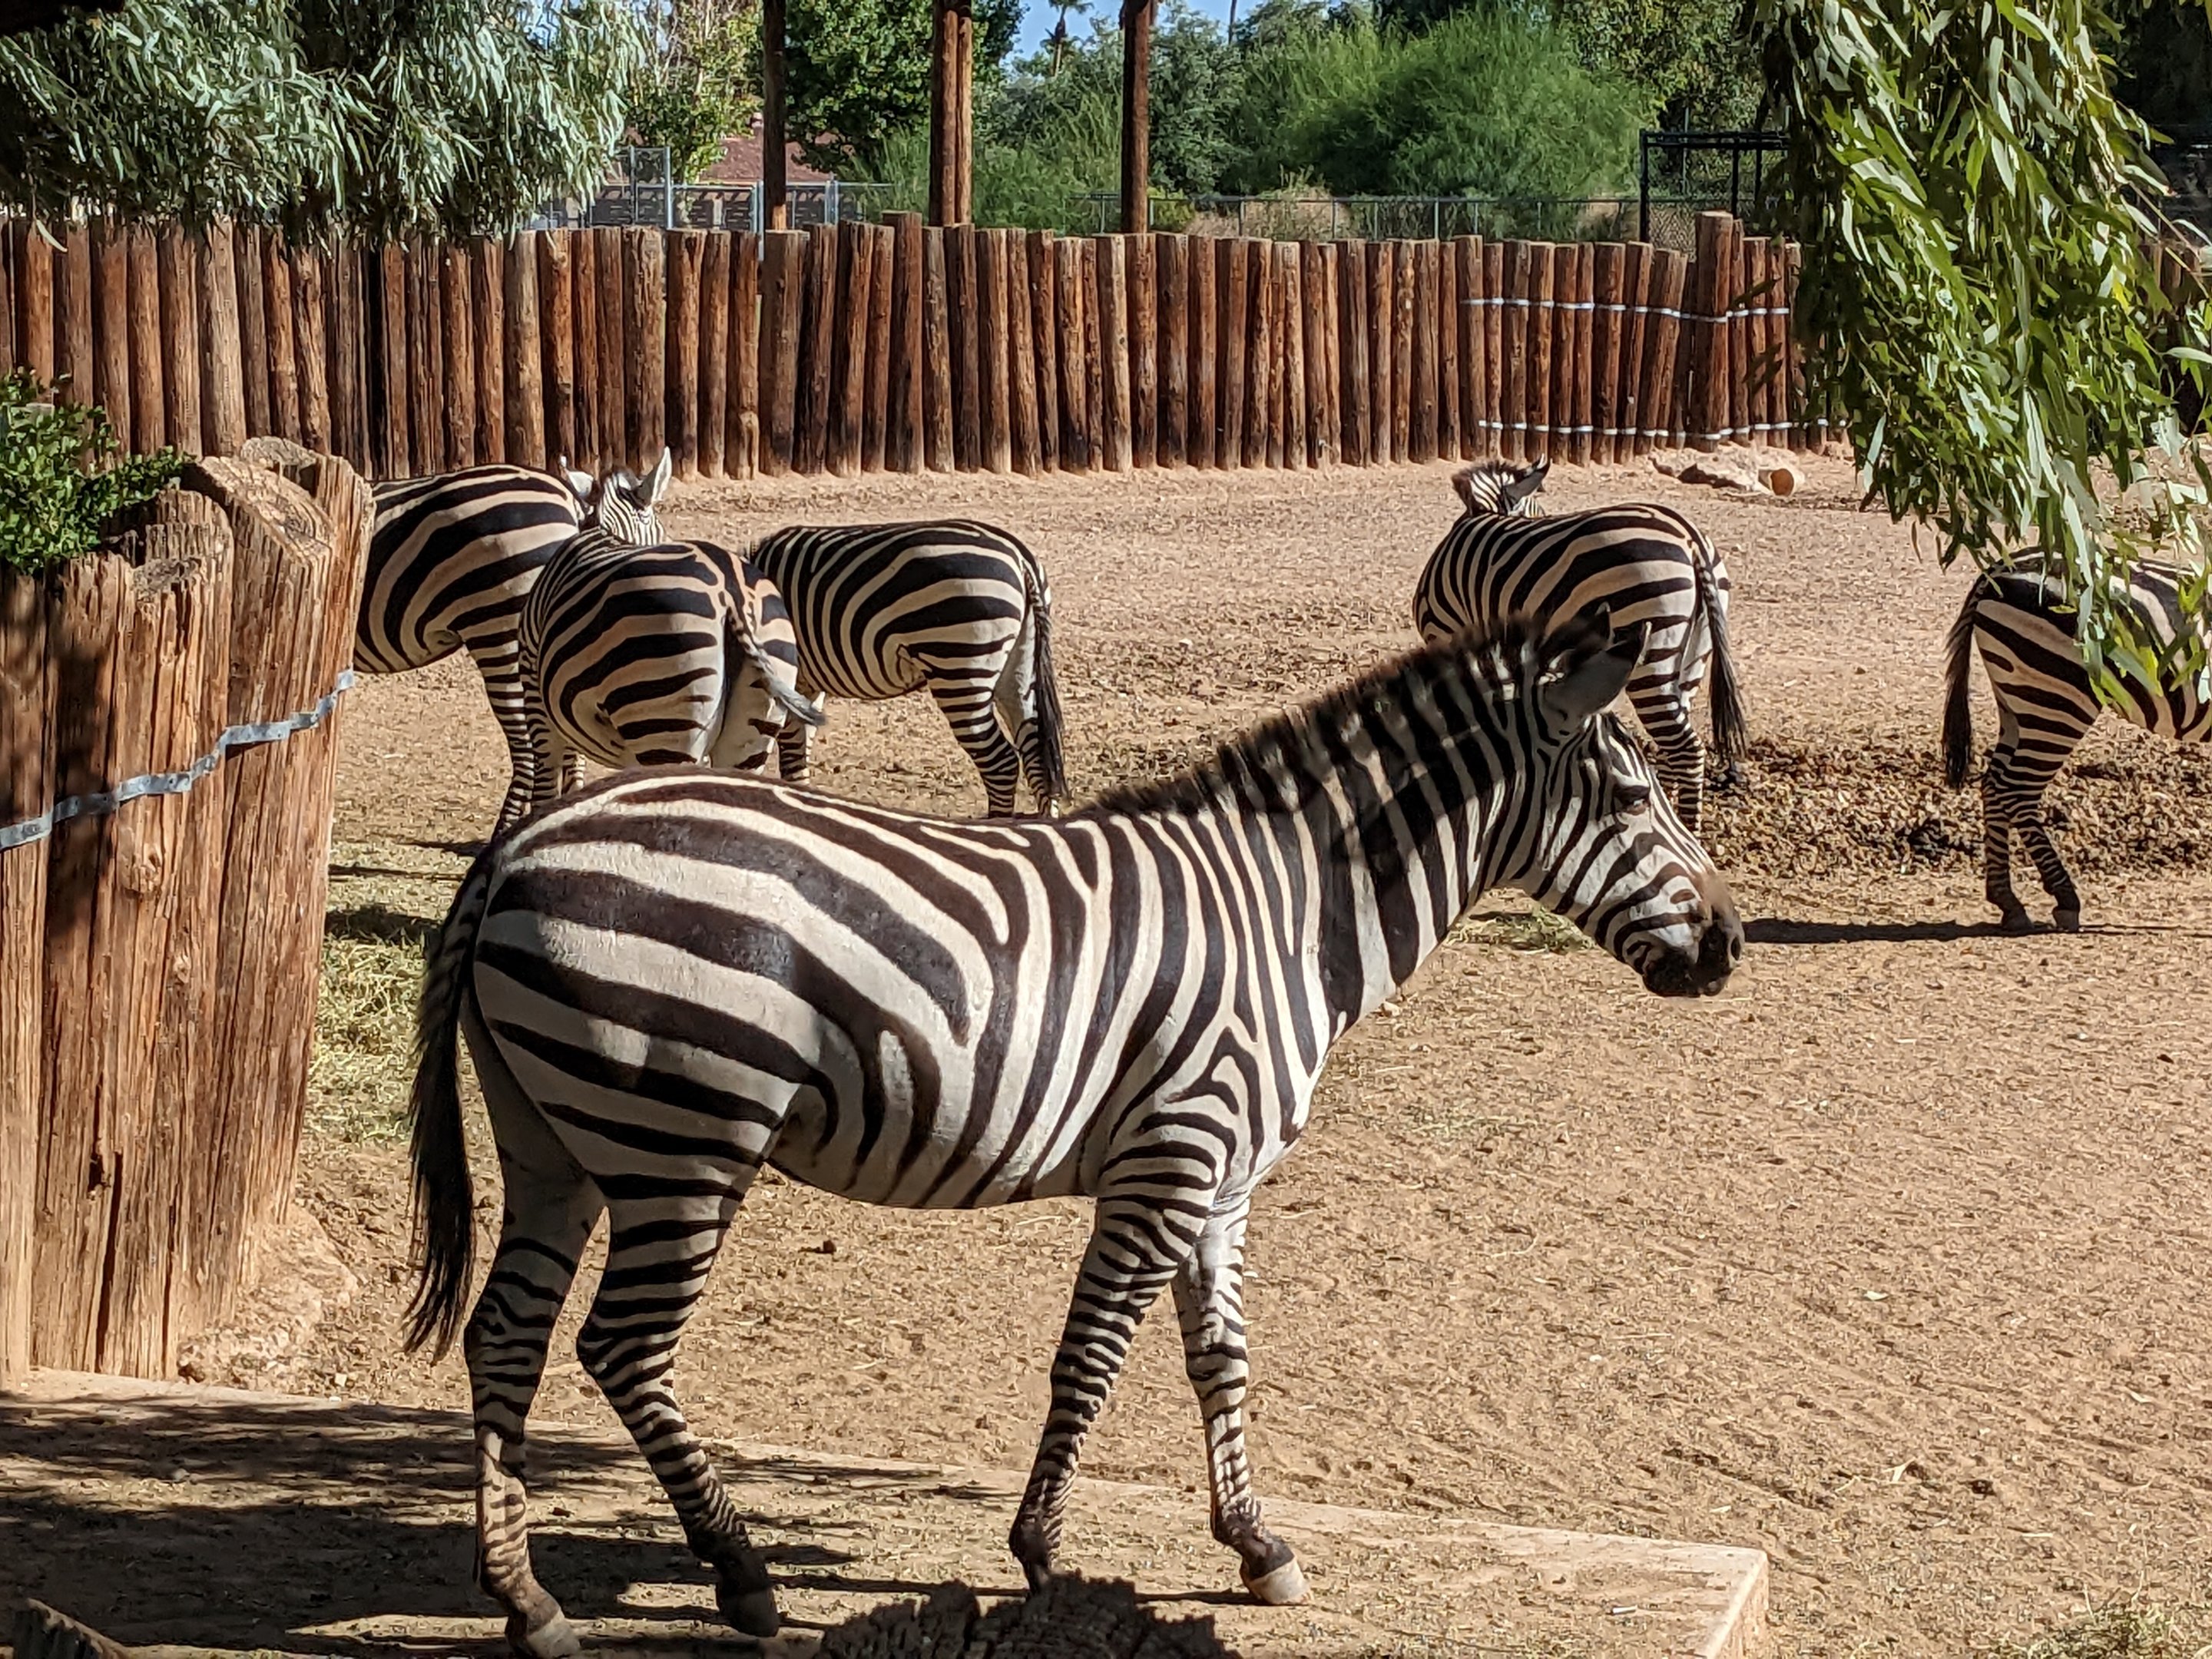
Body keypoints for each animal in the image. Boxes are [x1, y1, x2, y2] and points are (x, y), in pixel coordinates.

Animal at [402, 612, 1742, 1656]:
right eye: (1635, 797)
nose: (1731, 947)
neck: (1292, 909)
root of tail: (523, 847)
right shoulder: (1174, 1157)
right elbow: (1090, 1358)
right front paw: (1043, 1550)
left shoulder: (1223, 1180)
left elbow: (1223, 1359)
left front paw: (1256, 1543)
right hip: (684, 1134)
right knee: (622, 1349)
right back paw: (740, 1579)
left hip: (555, 1137)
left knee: (506, 1336)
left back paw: (526, 1600)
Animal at [745, 519, 1069, 815]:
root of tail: (1019, 556)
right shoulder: (805, 684)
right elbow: (795, 749)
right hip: (1019, 668)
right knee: (1036, 756)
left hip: (960, 667)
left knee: (1001, 762)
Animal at [1413, 458, 1748, 833]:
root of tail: (1689, 538)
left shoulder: (1448, 631)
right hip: (1690, 659)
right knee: (1673, 743)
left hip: (1652, 653)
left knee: (1686, 749)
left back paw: (1687, 828)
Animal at [1943, 558, 2210, 932]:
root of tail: (1993, 574)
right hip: (2059, 697)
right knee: (2016, 789)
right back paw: (2064, 898)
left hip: (2018, 701)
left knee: (1994, 785)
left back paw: (2007, 901)